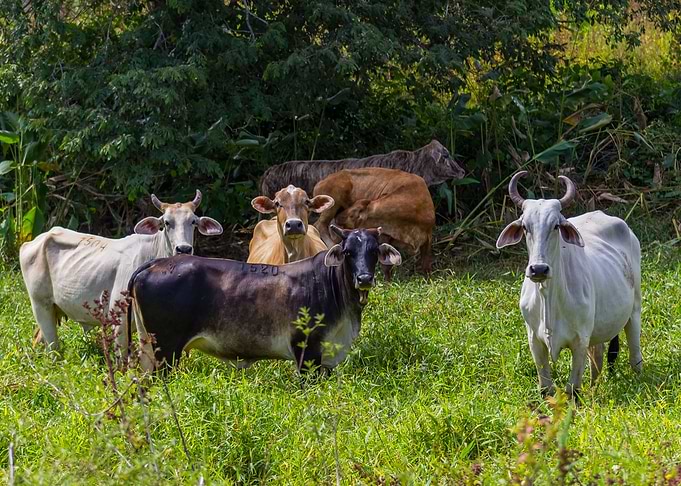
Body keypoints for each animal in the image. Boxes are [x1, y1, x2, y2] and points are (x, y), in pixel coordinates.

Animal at [19, 190, 223, 356]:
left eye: (193, 222)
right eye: (166, 222)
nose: (183, 249)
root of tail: (37, 239)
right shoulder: (119, 320)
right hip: (40, 305)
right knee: (52, 346)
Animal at [128, 225, 402, 373]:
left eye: (373, 251)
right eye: (348, 252)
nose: (364, 278)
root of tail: (158, 263)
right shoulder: (307, 352)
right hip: (166, 350)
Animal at [496, 171, 642, 398]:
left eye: (556, 225)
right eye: (525, 227)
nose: (539, 269)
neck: (548, 297)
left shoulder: (580, 340)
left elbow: (573, 389)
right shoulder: (534, 341)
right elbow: (546, 388)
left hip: (634, 308)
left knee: (634, 352)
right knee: (597, 358)